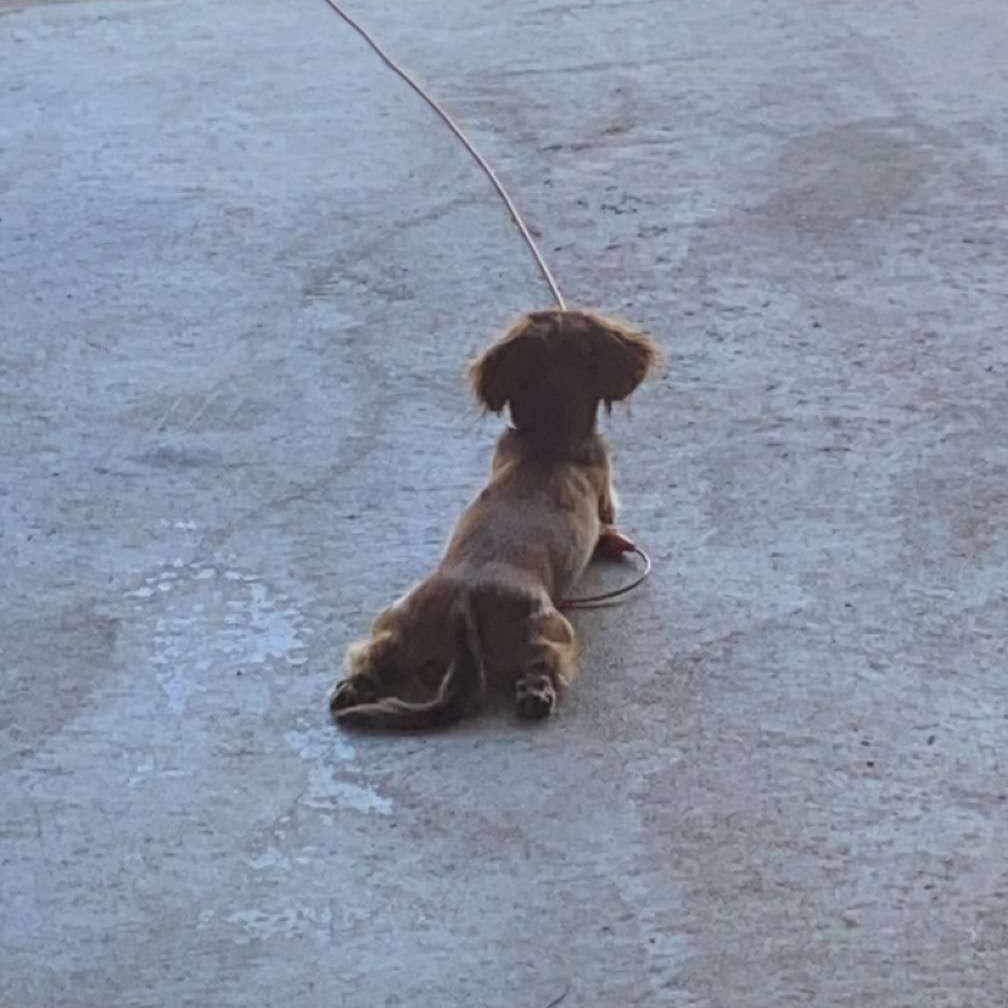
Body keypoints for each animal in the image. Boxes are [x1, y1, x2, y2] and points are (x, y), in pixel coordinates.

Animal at [328, 302, 661, 729]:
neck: (548, 437)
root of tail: (464, 603)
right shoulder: (604, 496)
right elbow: (608, 524)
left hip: (396, 618)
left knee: (370, 657)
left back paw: (352, 690)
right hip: (550, 626)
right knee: (542, 661)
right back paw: (536, 694)